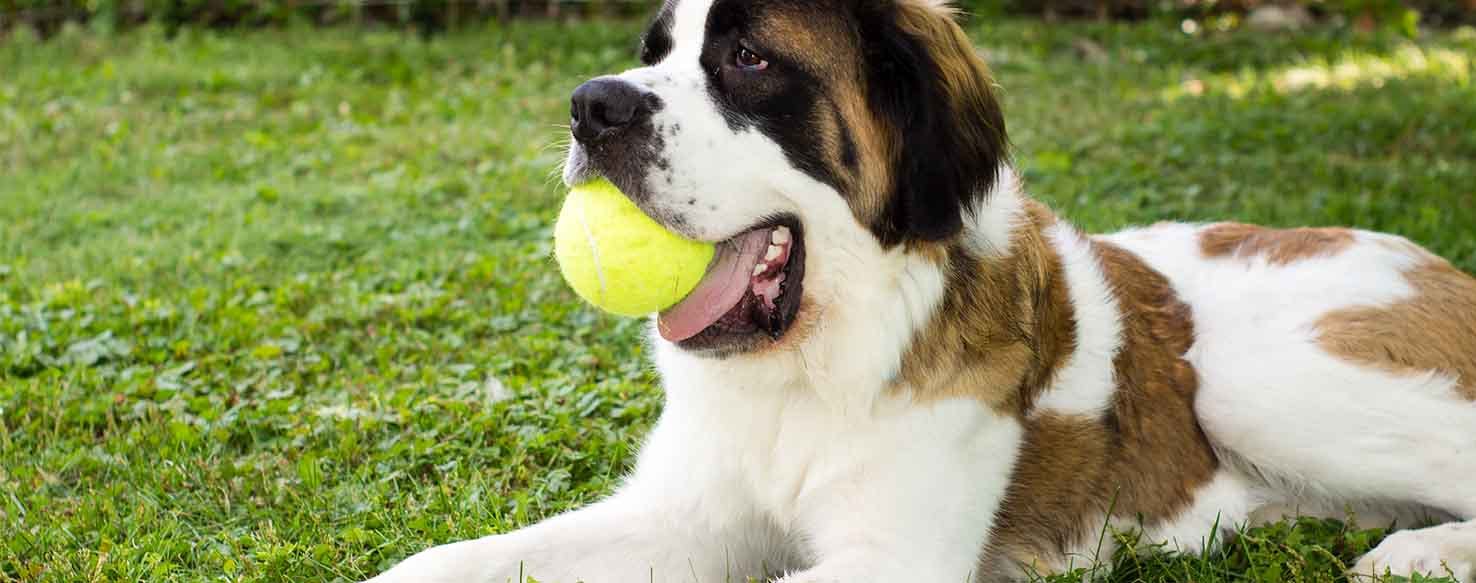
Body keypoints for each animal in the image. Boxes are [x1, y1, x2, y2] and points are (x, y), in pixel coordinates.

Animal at [366, 1, 1476, 583]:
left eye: (748, 58)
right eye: (654, 54)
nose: (591, 106)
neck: (810, 368)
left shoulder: (890, 557)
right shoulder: (686, 512)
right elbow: (461, 560)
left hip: (1249, 379)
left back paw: (1415, 553)